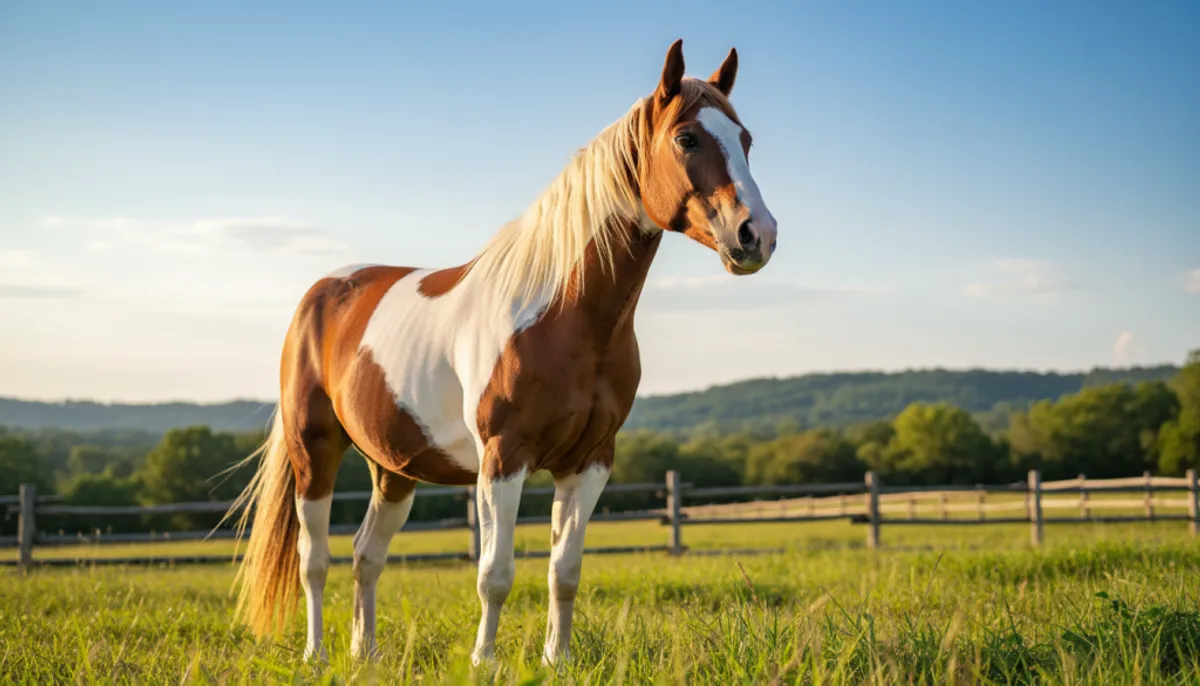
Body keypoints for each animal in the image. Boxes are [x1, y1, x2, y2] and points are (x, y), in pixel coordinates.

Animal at [222, 38, 778, 668]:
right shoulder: (502, 458)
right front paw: (483, 662)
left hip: (393, 468)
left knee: (367, 554)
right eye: (687, 138)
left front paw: (556, 660)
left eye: (746, 140)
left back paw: (365, 654)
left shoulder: (590, 462)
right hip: (313, 451)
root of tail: (324, 290)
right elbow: (494, 573)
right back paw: (316, 654)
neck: (566, 317)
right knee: (315, 560)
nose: (756, 235)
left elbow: (565, 571)